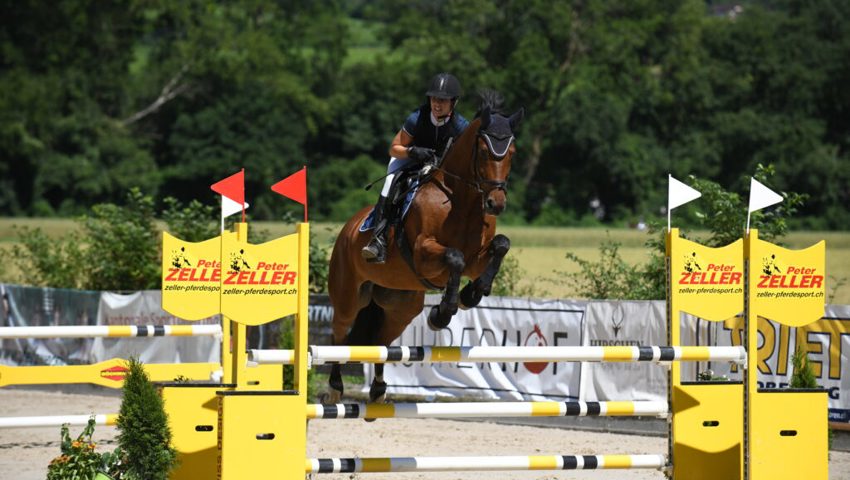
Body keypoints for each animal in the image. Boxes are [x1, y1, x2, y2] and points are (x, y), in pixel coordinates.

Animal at [324, 93, 524, 404]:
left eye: (511, 152)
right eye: (483, 151)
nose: (496, 203)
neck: (460, 202)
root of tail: (350, 227)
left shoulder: (477, 258)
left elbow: (501, 245)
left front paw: (472, 293)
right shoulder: (423, 254)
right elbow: (454, 257)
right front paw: (443, 312)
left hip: (401, 307)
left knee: (381, 341)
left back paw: (378, 390)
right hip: (348, 295)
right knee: (340, 333)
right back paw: (335, 388)